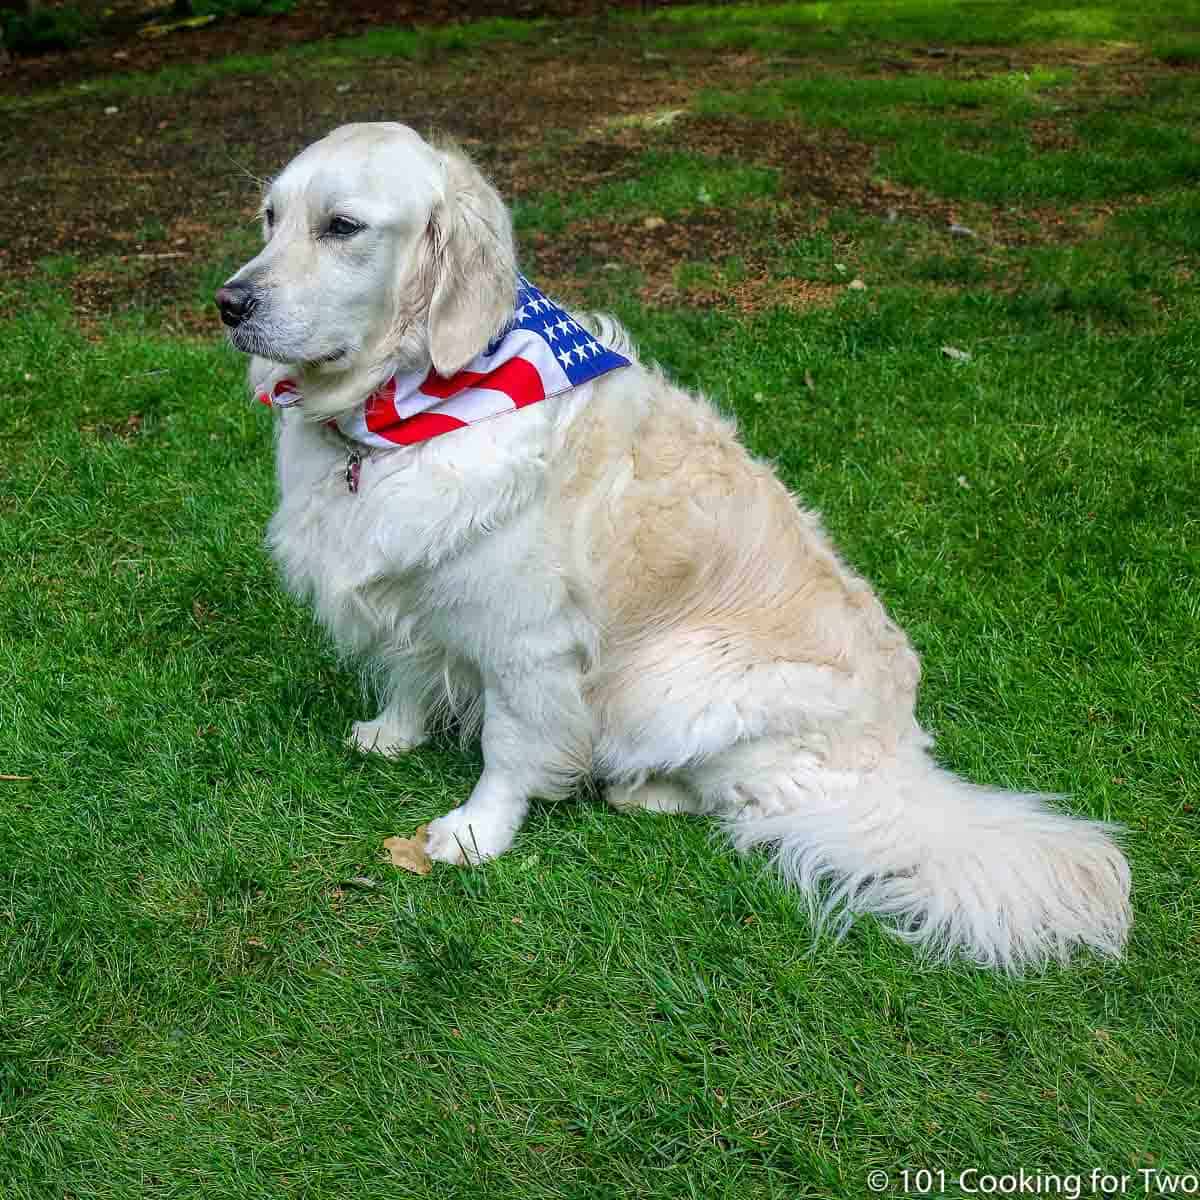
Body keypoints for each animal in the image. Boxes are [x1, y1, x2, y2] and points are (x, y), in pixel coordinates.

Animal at [218, 121, 1132, 969]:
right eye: (270, 217)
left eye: (343, 226)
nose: (228, 303)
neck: (396, 410)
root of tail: (897, 760)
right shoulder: (412, 585)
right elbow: (408, 668)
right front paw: (393, 731)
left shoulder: (528, 639)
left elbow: (508, 745)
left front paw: (476, 832)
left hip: (676, 680)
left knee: (743, 800)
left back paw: (642, 792)